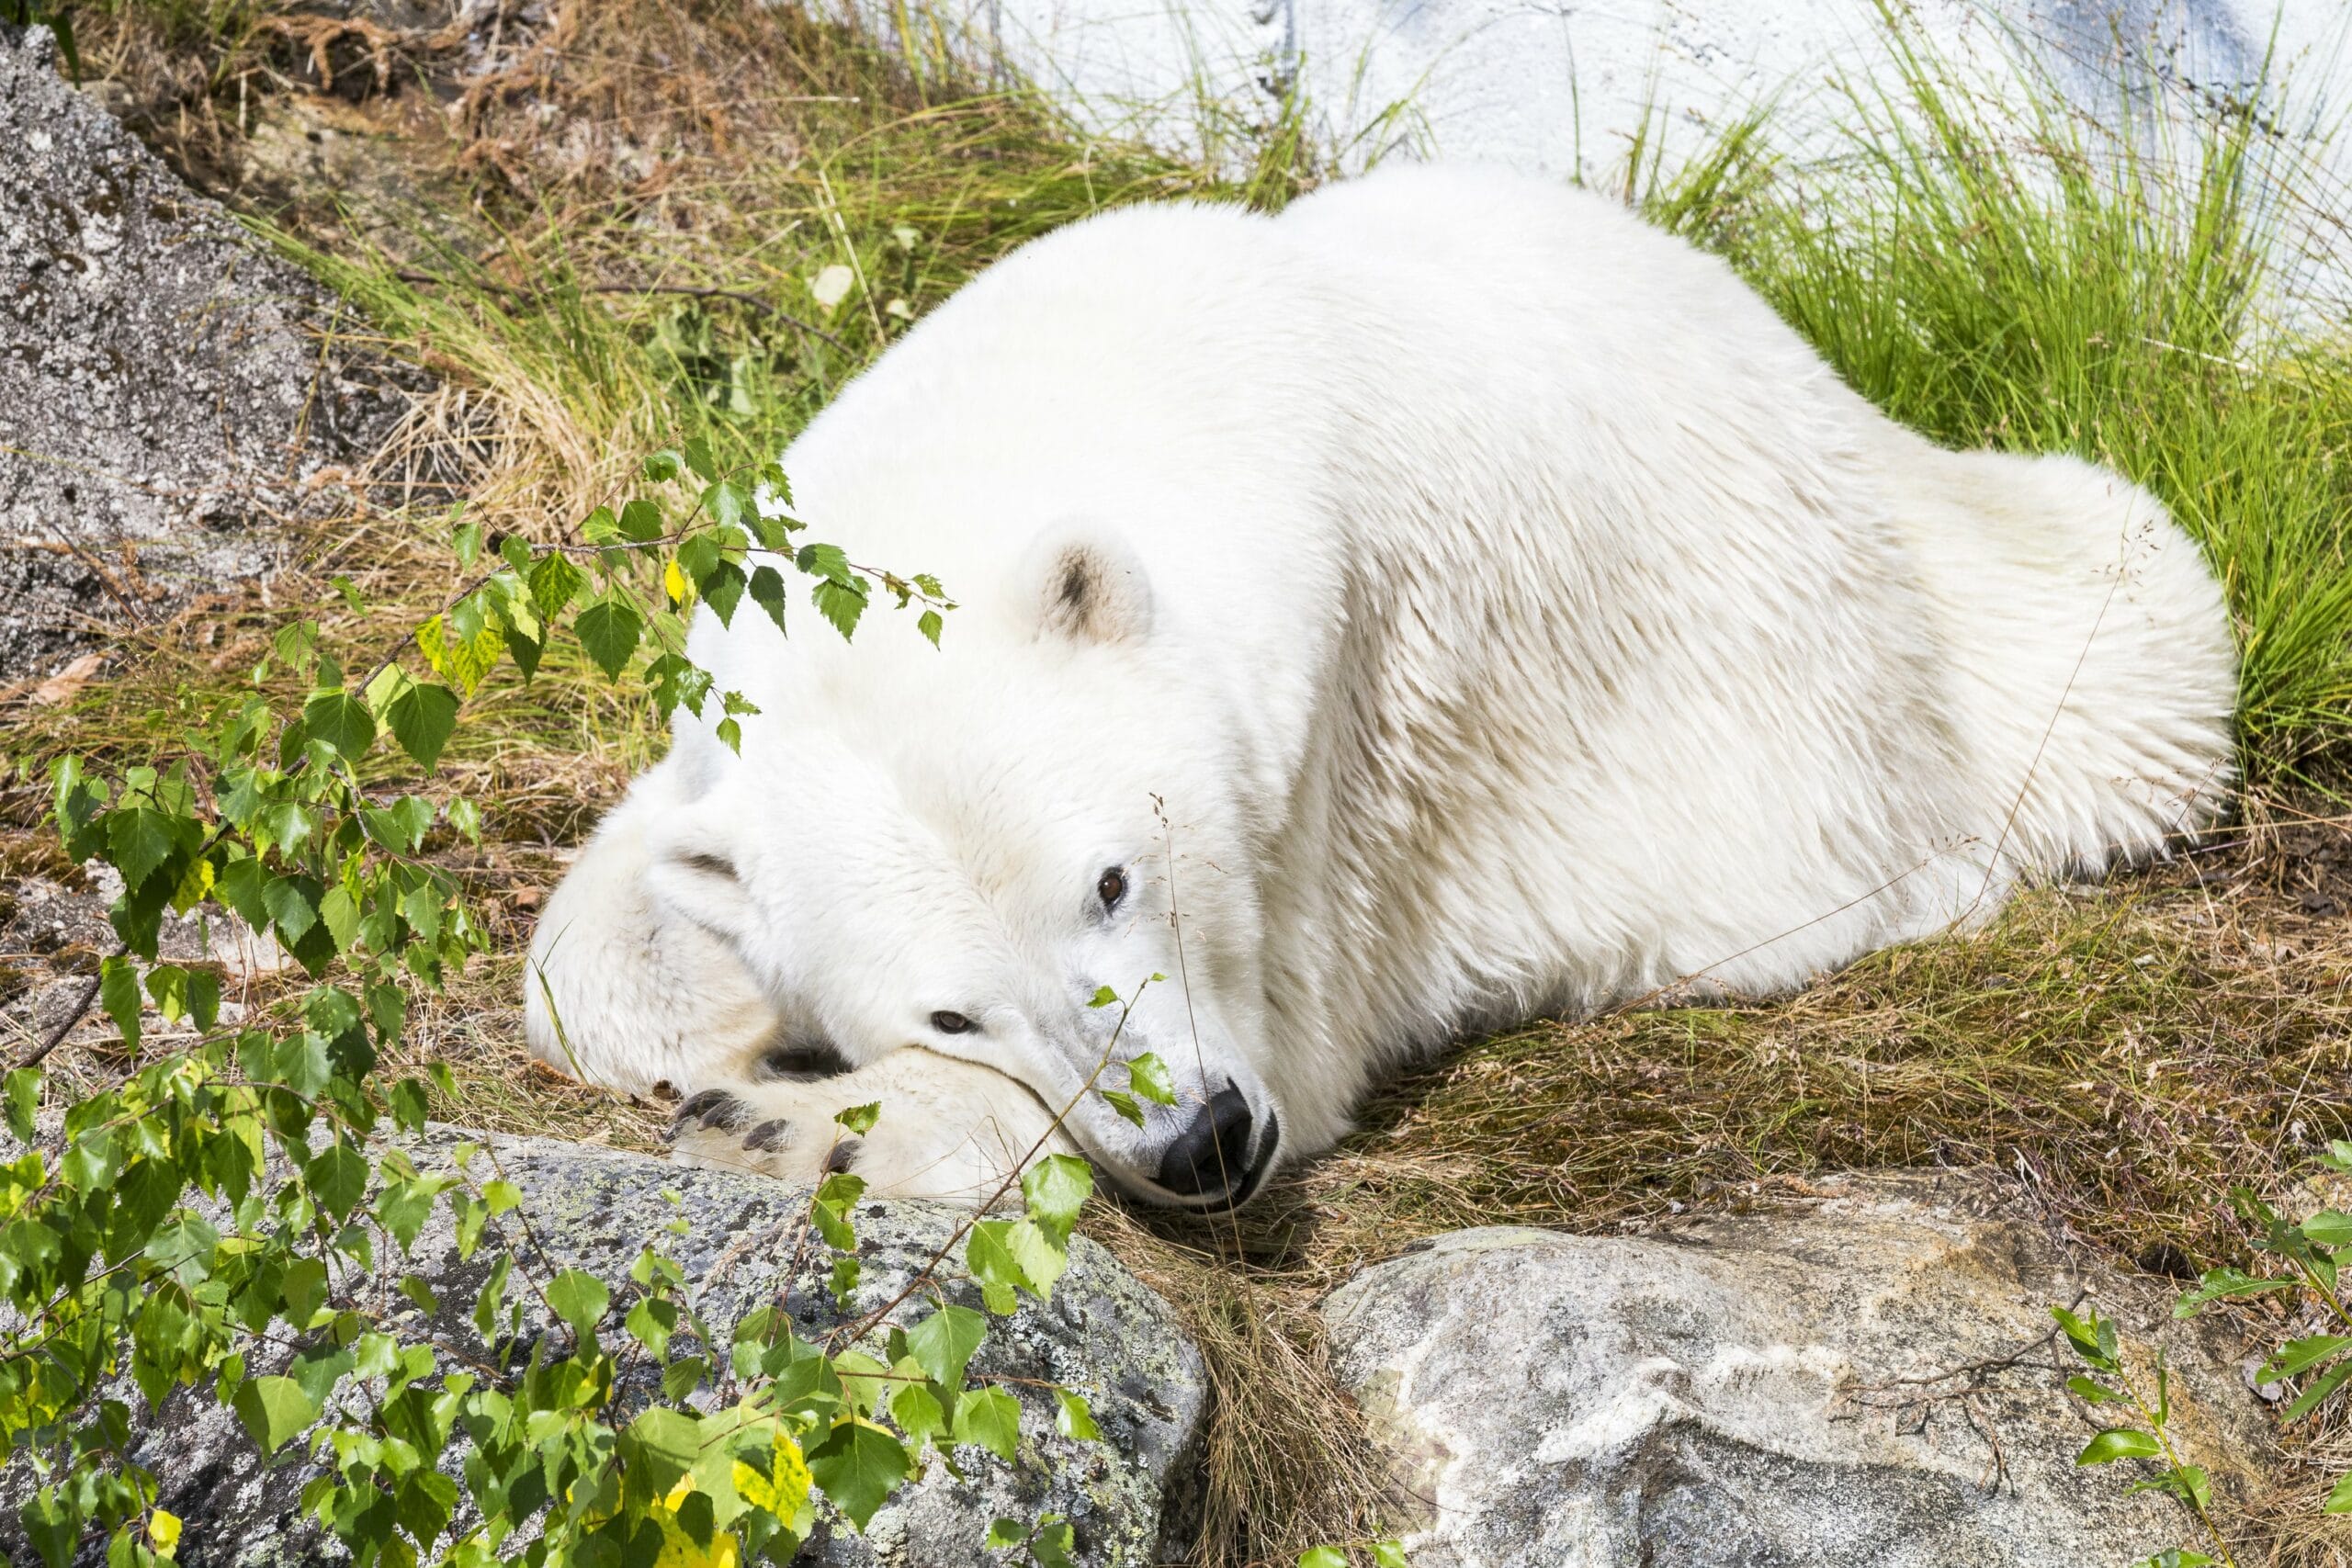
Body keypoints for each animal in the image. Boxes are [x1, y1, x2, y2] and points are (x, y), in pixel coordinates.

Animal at [523, 162, 2236, 1211]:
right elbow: (597, 939)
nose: (1202, 1139)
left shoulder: (1329, 736)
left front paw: (801, 1121)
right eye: (946, 1001)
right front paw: (714, 1037)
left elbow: (1299, 1035)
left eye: (1112, 878)